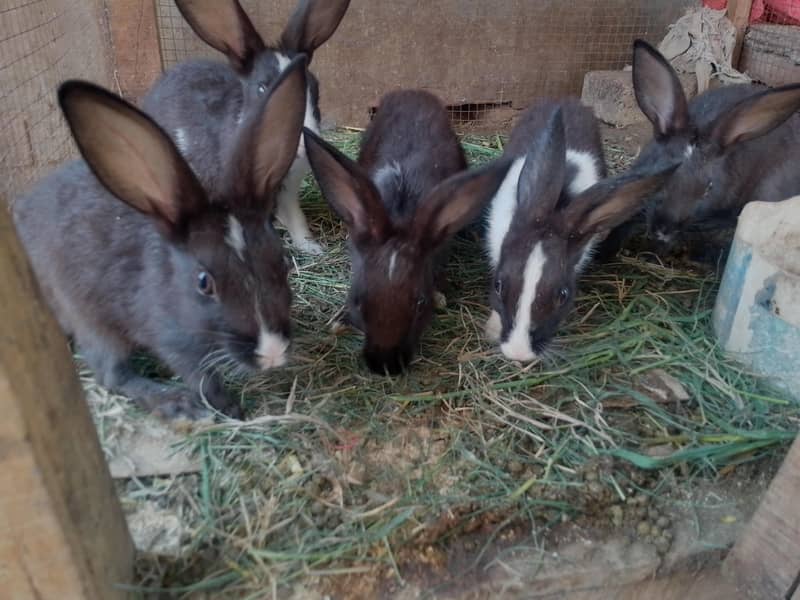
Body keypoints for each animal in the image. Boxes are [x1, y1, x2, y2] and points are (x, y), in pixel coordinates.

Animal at [11, 56, 308, 420]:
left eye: (280, 261)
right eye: (204, 283)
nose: (272, 351)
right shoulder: (172, 339)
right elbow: (201, 378)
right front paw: (229, 409)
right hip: (90, 321)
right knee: (112, 374)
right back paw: (175, 402)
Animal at [142, 0, 351, 255]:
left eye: (314, 87)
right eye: (262, 88)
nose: (301, 144)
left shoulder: (288, 190)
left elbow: (296, 218)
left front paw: (311, 247)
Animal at [303, 90, 512, 375]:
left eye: (420, 304)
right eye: (357, 300)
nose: (385, 365)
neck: (401, 213)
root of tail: (414, 93)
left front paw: (440, 295)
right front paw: (340, 321)